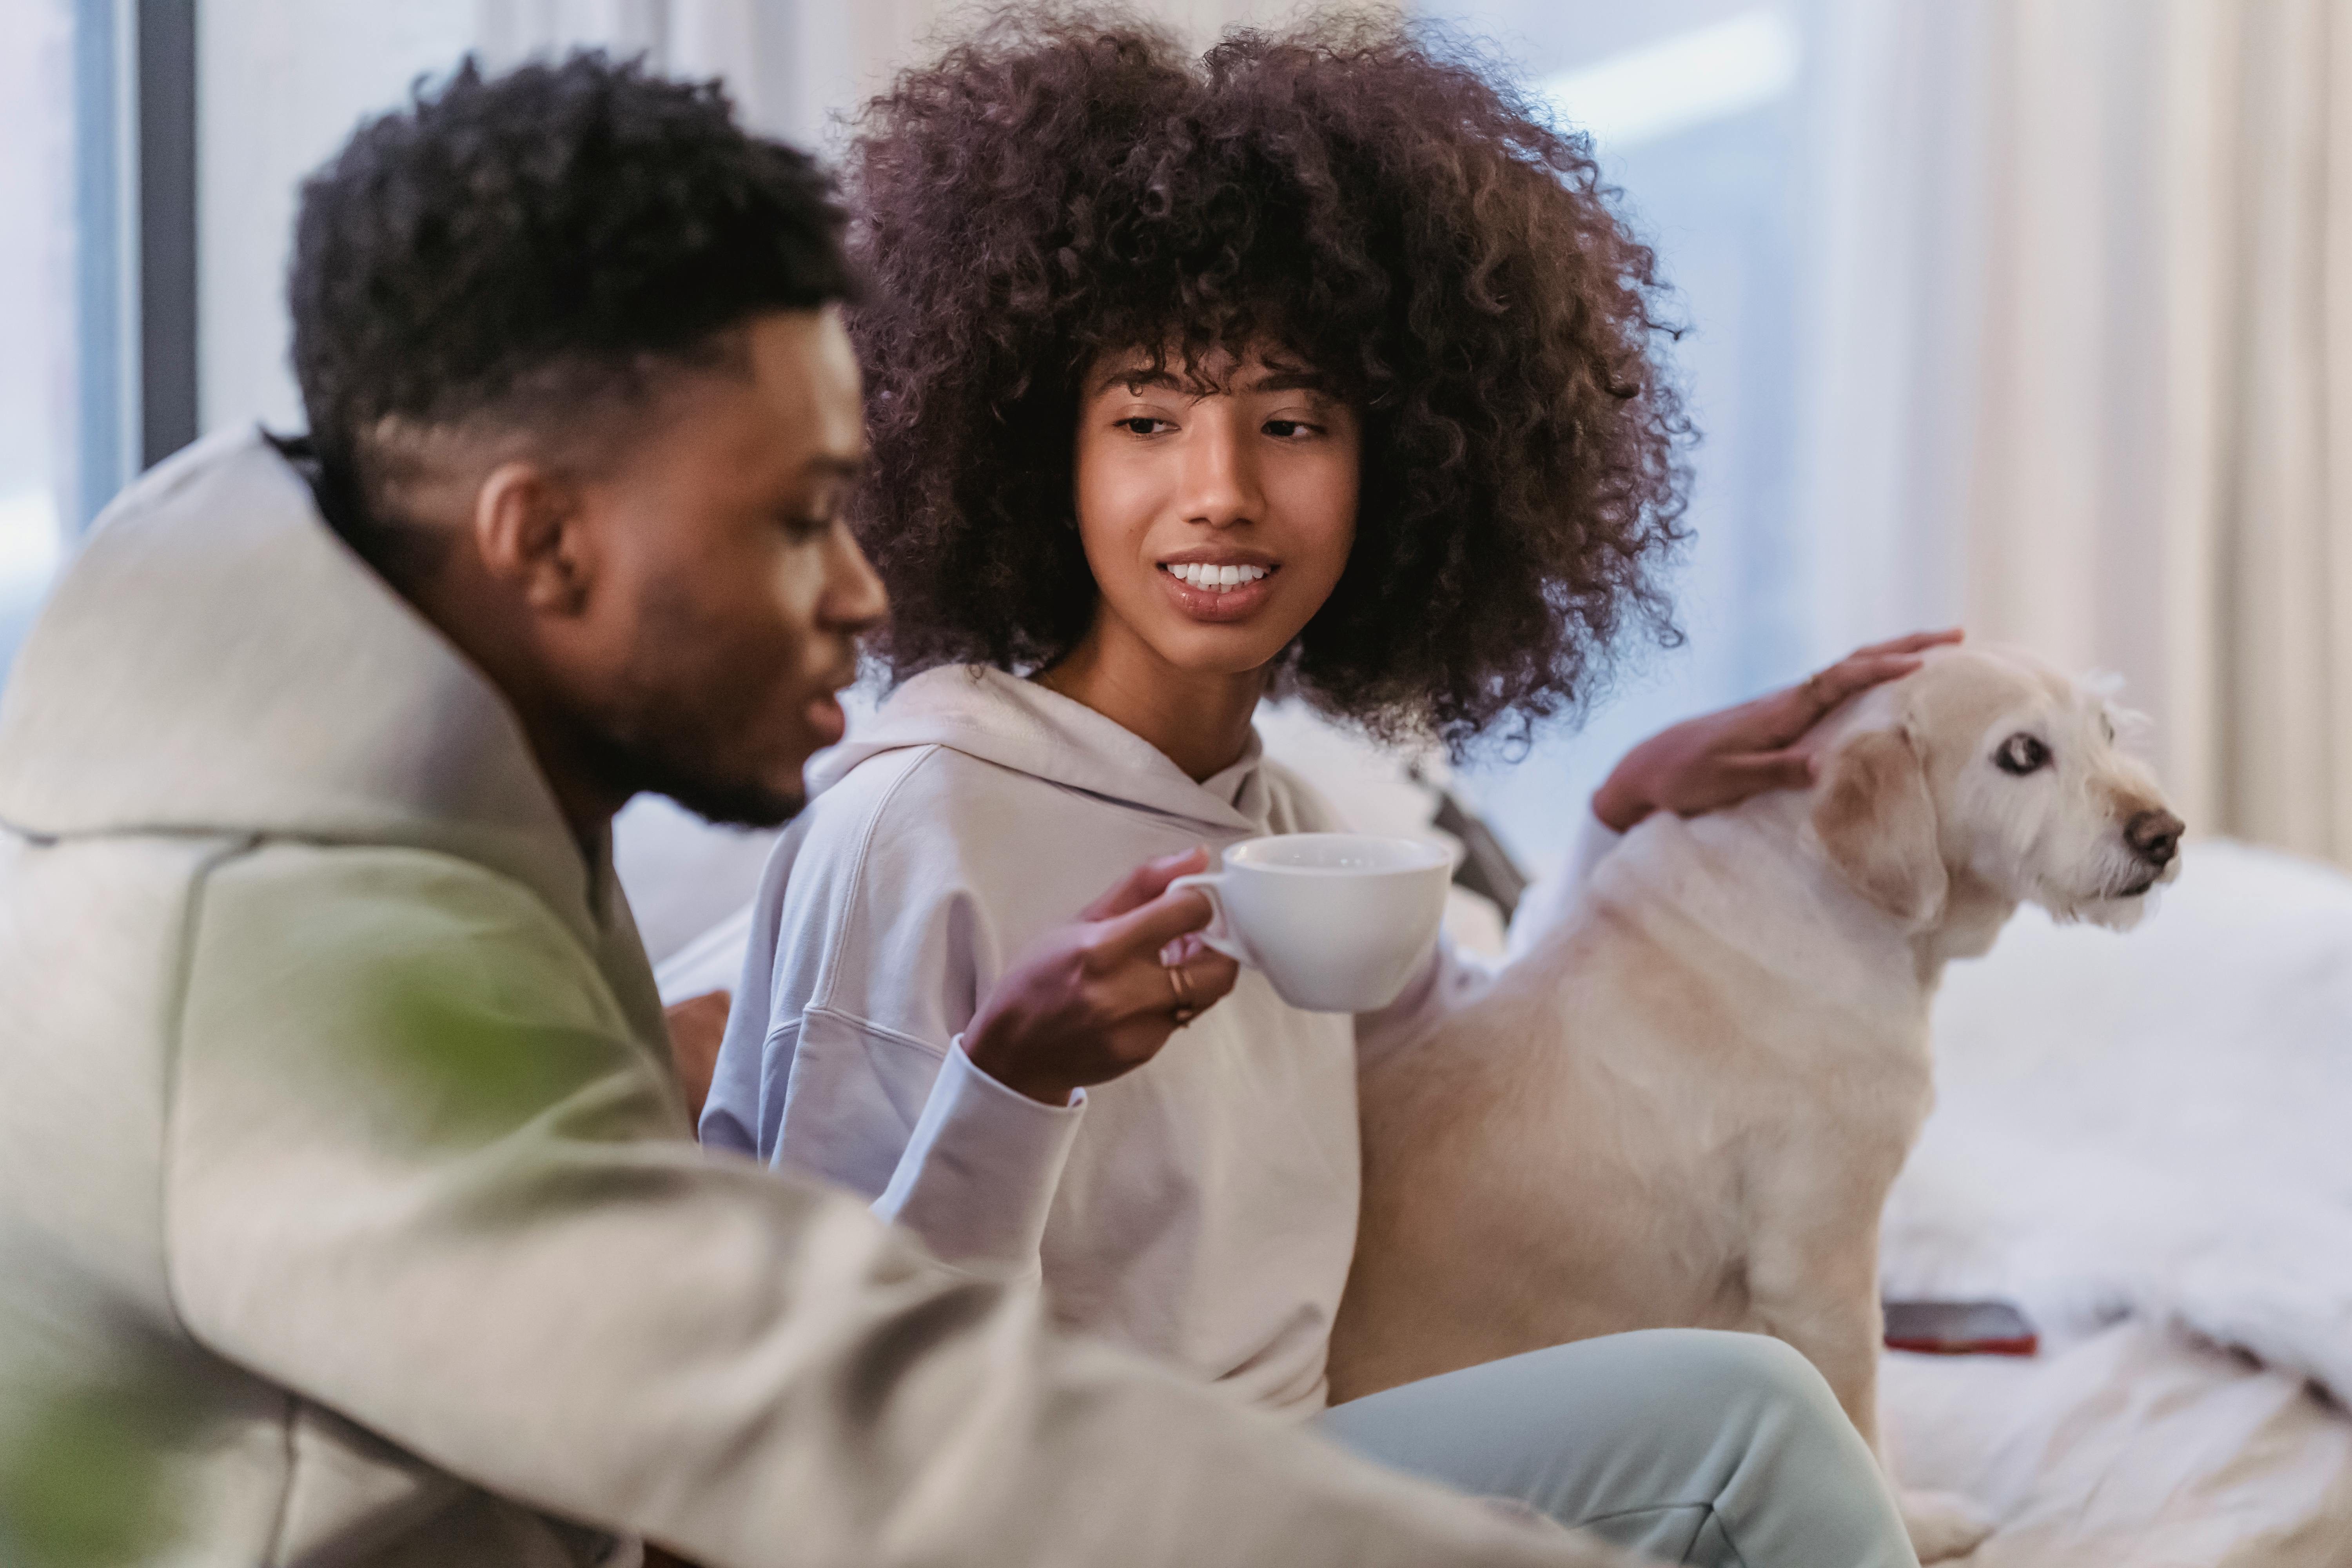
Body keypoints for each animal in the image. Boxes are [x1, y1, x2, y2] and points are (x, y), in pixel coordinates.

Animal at [1336, 649, 2173, 1561]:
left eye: (2106, 730)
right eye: (2022, 753)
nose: (2164, 833)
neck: (1824, 889)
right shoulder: (1821, 1265)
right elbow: (1861, 1416)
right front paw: (1920, 1522)